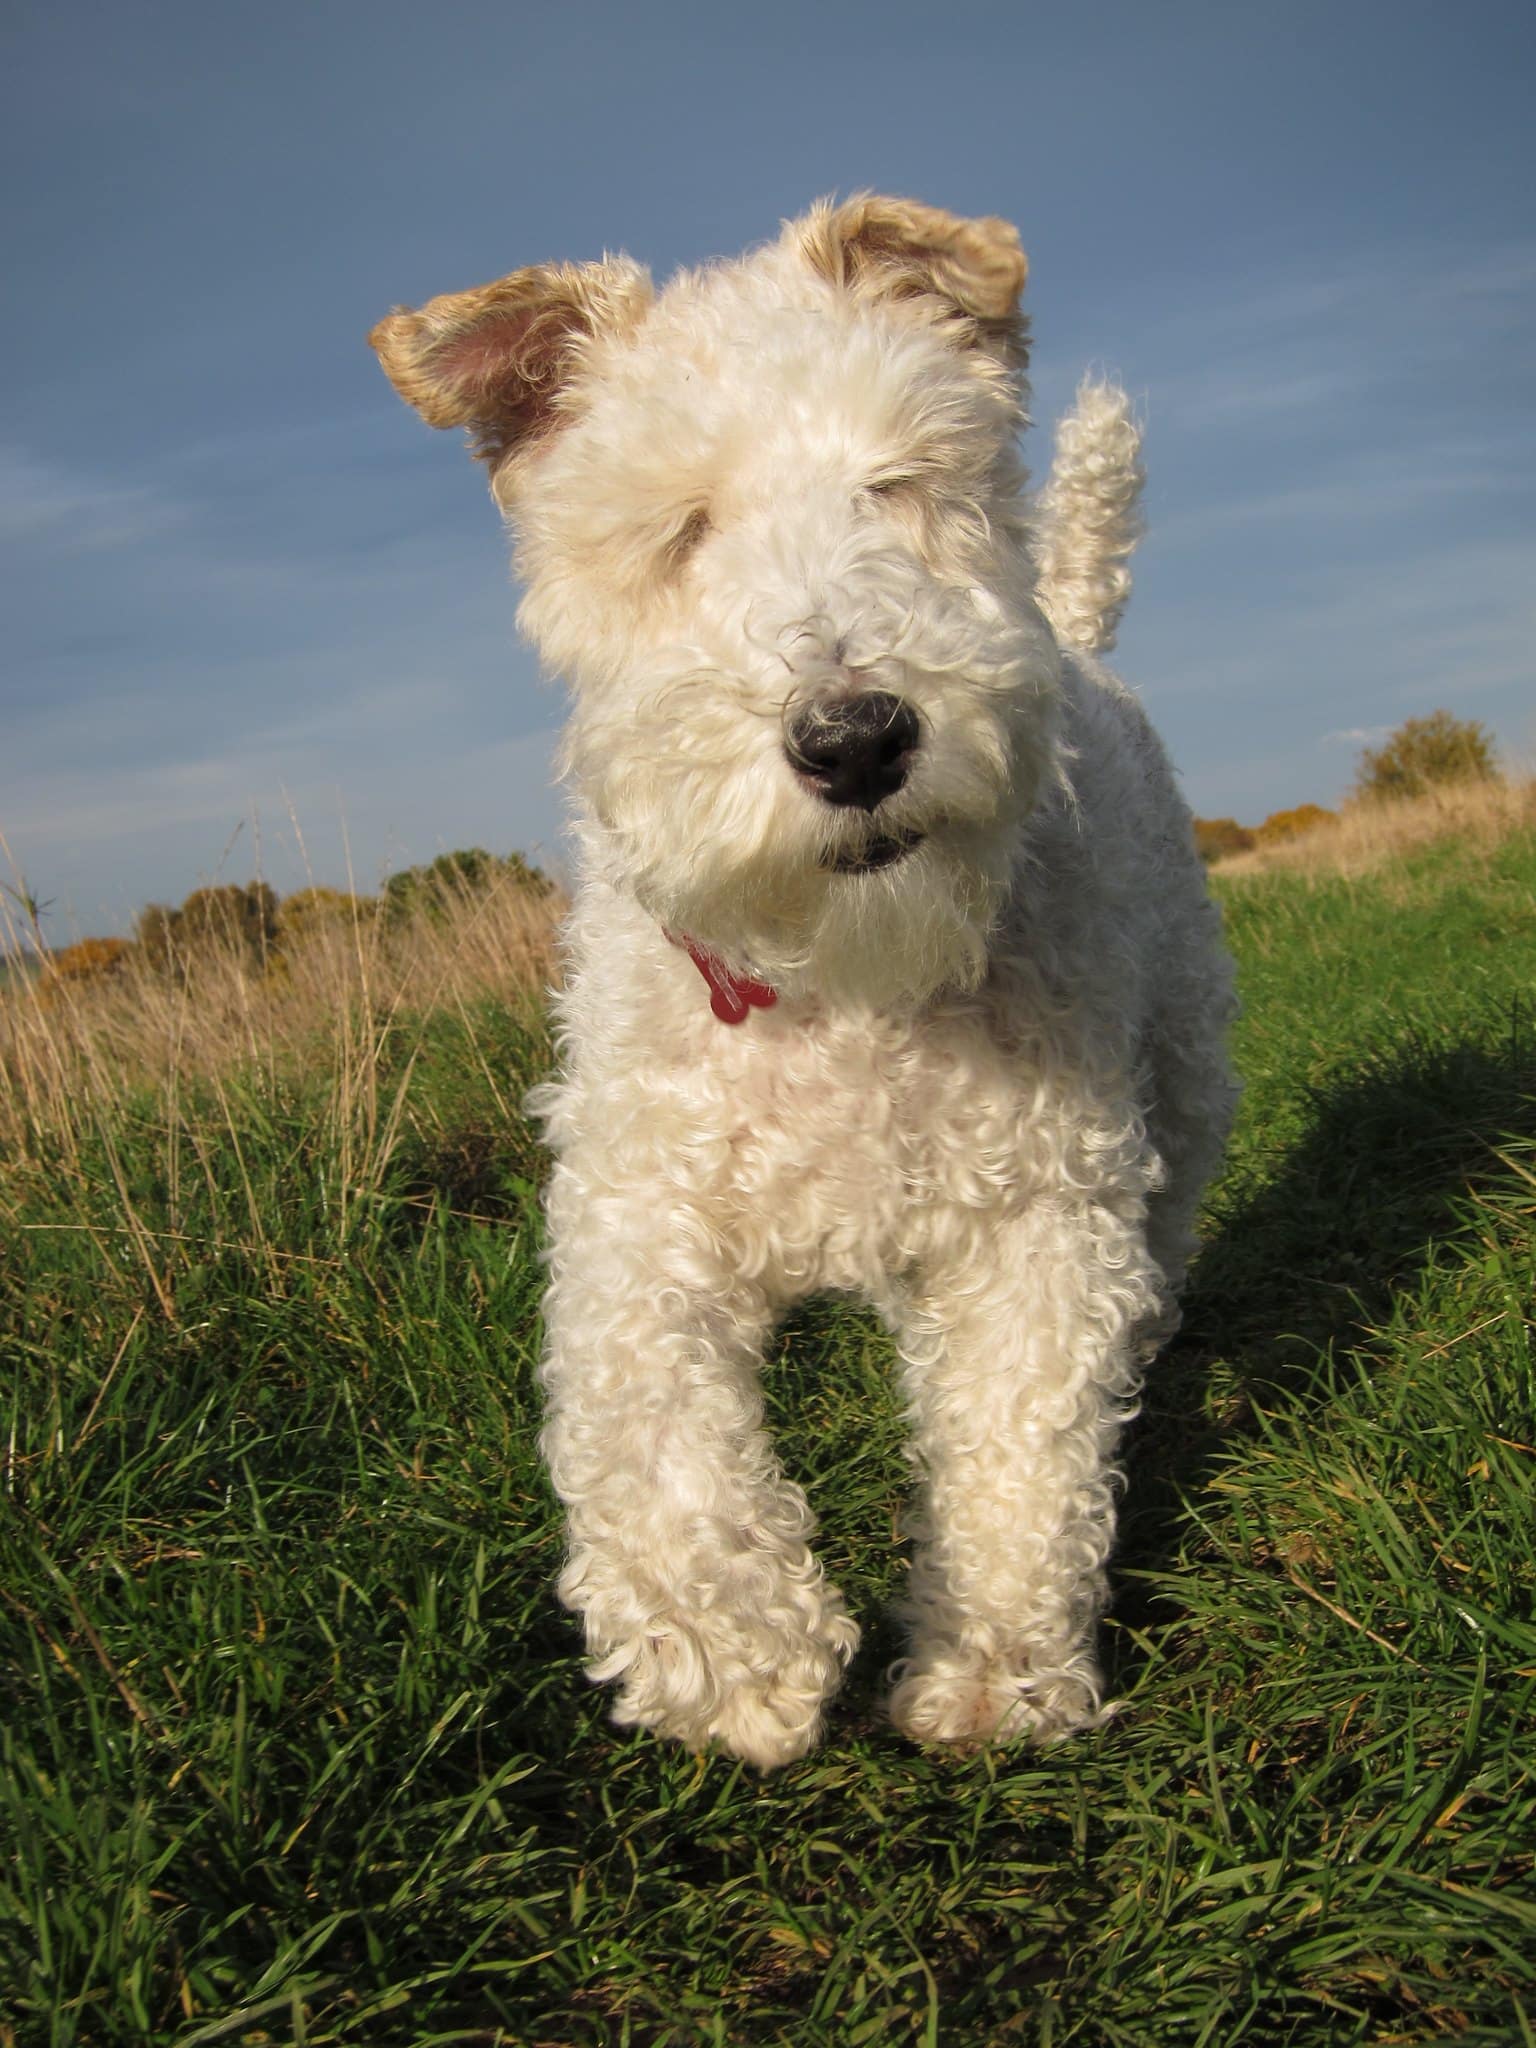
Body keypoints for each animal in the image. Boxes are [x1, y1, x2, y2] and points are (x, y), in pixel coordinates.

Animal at [372, 203, 1236, 1777]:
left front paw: (991, 1673)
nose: (855, 737)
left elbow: (1022, 1454)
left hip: (1182, 1082)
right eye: (680, 528)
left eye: (899, 483)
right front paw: (732, 1654)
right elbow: (648, 1437)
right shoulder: (633, 1217)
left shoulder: (1035, 1219)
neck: (837, 984)